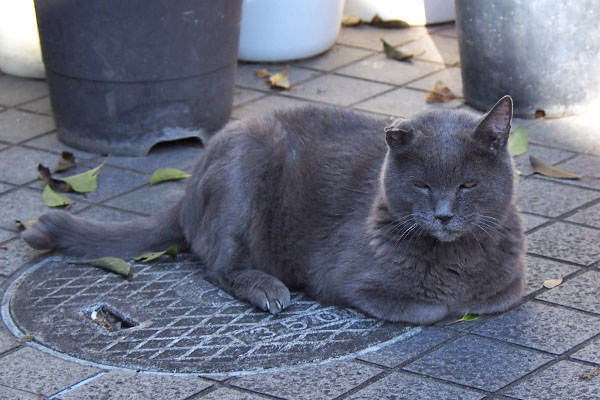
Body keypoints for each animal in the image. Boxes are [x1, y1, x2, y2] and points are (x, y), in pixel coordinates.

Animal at [21, 96, 524, 324]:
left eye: (468, 185)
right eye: (422, 185)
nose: (442, 214)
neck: (455, 257)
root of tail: (188, 189)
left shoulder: (512, 284)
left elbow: (496, 296)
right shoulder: (350, 281)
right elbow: (429, 308)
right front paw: (445, 303)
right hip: (246, 163)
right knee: (218, 266)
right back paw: (269, 289)